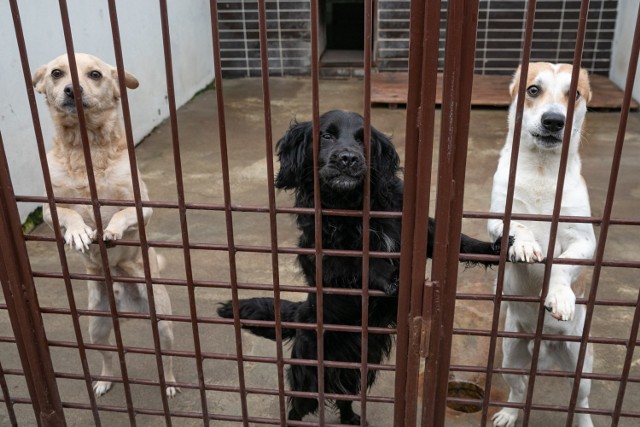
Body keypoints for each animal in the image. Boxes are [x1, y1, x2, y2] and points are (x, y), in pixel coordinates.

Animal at [34, 53, 179, 398]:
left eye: (95, 75)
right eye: (57, 73)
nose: (71, 89)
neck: (85, 148)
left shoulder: (143, 207)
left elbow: (121, 214)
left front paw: (110, 230)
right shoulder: (48, 208)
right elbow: (69, 214)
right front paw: (79, 232)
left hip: (163, 325)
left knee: (166, 358)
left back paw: (168, 383)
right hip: (95, 327)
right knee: (108, 357)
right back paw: (103, 380)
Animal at [218, 109, 502, 424]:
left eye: (362, 139)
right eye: (326, 135)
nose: (348, 158)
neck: (351, 204)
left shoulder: (419, 233)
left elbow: (463, 241)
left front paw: (496, 246)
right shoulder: (322, 254)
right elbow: (358, 257)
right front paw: (391, 277)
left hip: (361, 366)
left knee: (345, 395)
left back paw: (351, 417)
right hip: (309, 373)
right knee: (297, 406)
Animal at [490, 61, 596, 426]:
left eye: (574, 93)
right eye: (533, 90)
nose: (553, 120)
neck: (541, 170)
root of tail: (545, 344)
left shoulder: (585, 240)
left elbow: (562, 265)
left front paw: (560, 295)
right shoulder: (497, 220)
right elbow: (519, 226)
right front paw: (525, 245)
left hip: (581, 366)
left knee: (581, 401)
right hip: (510, 354)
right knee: (519, 387)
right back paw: (510, 412)